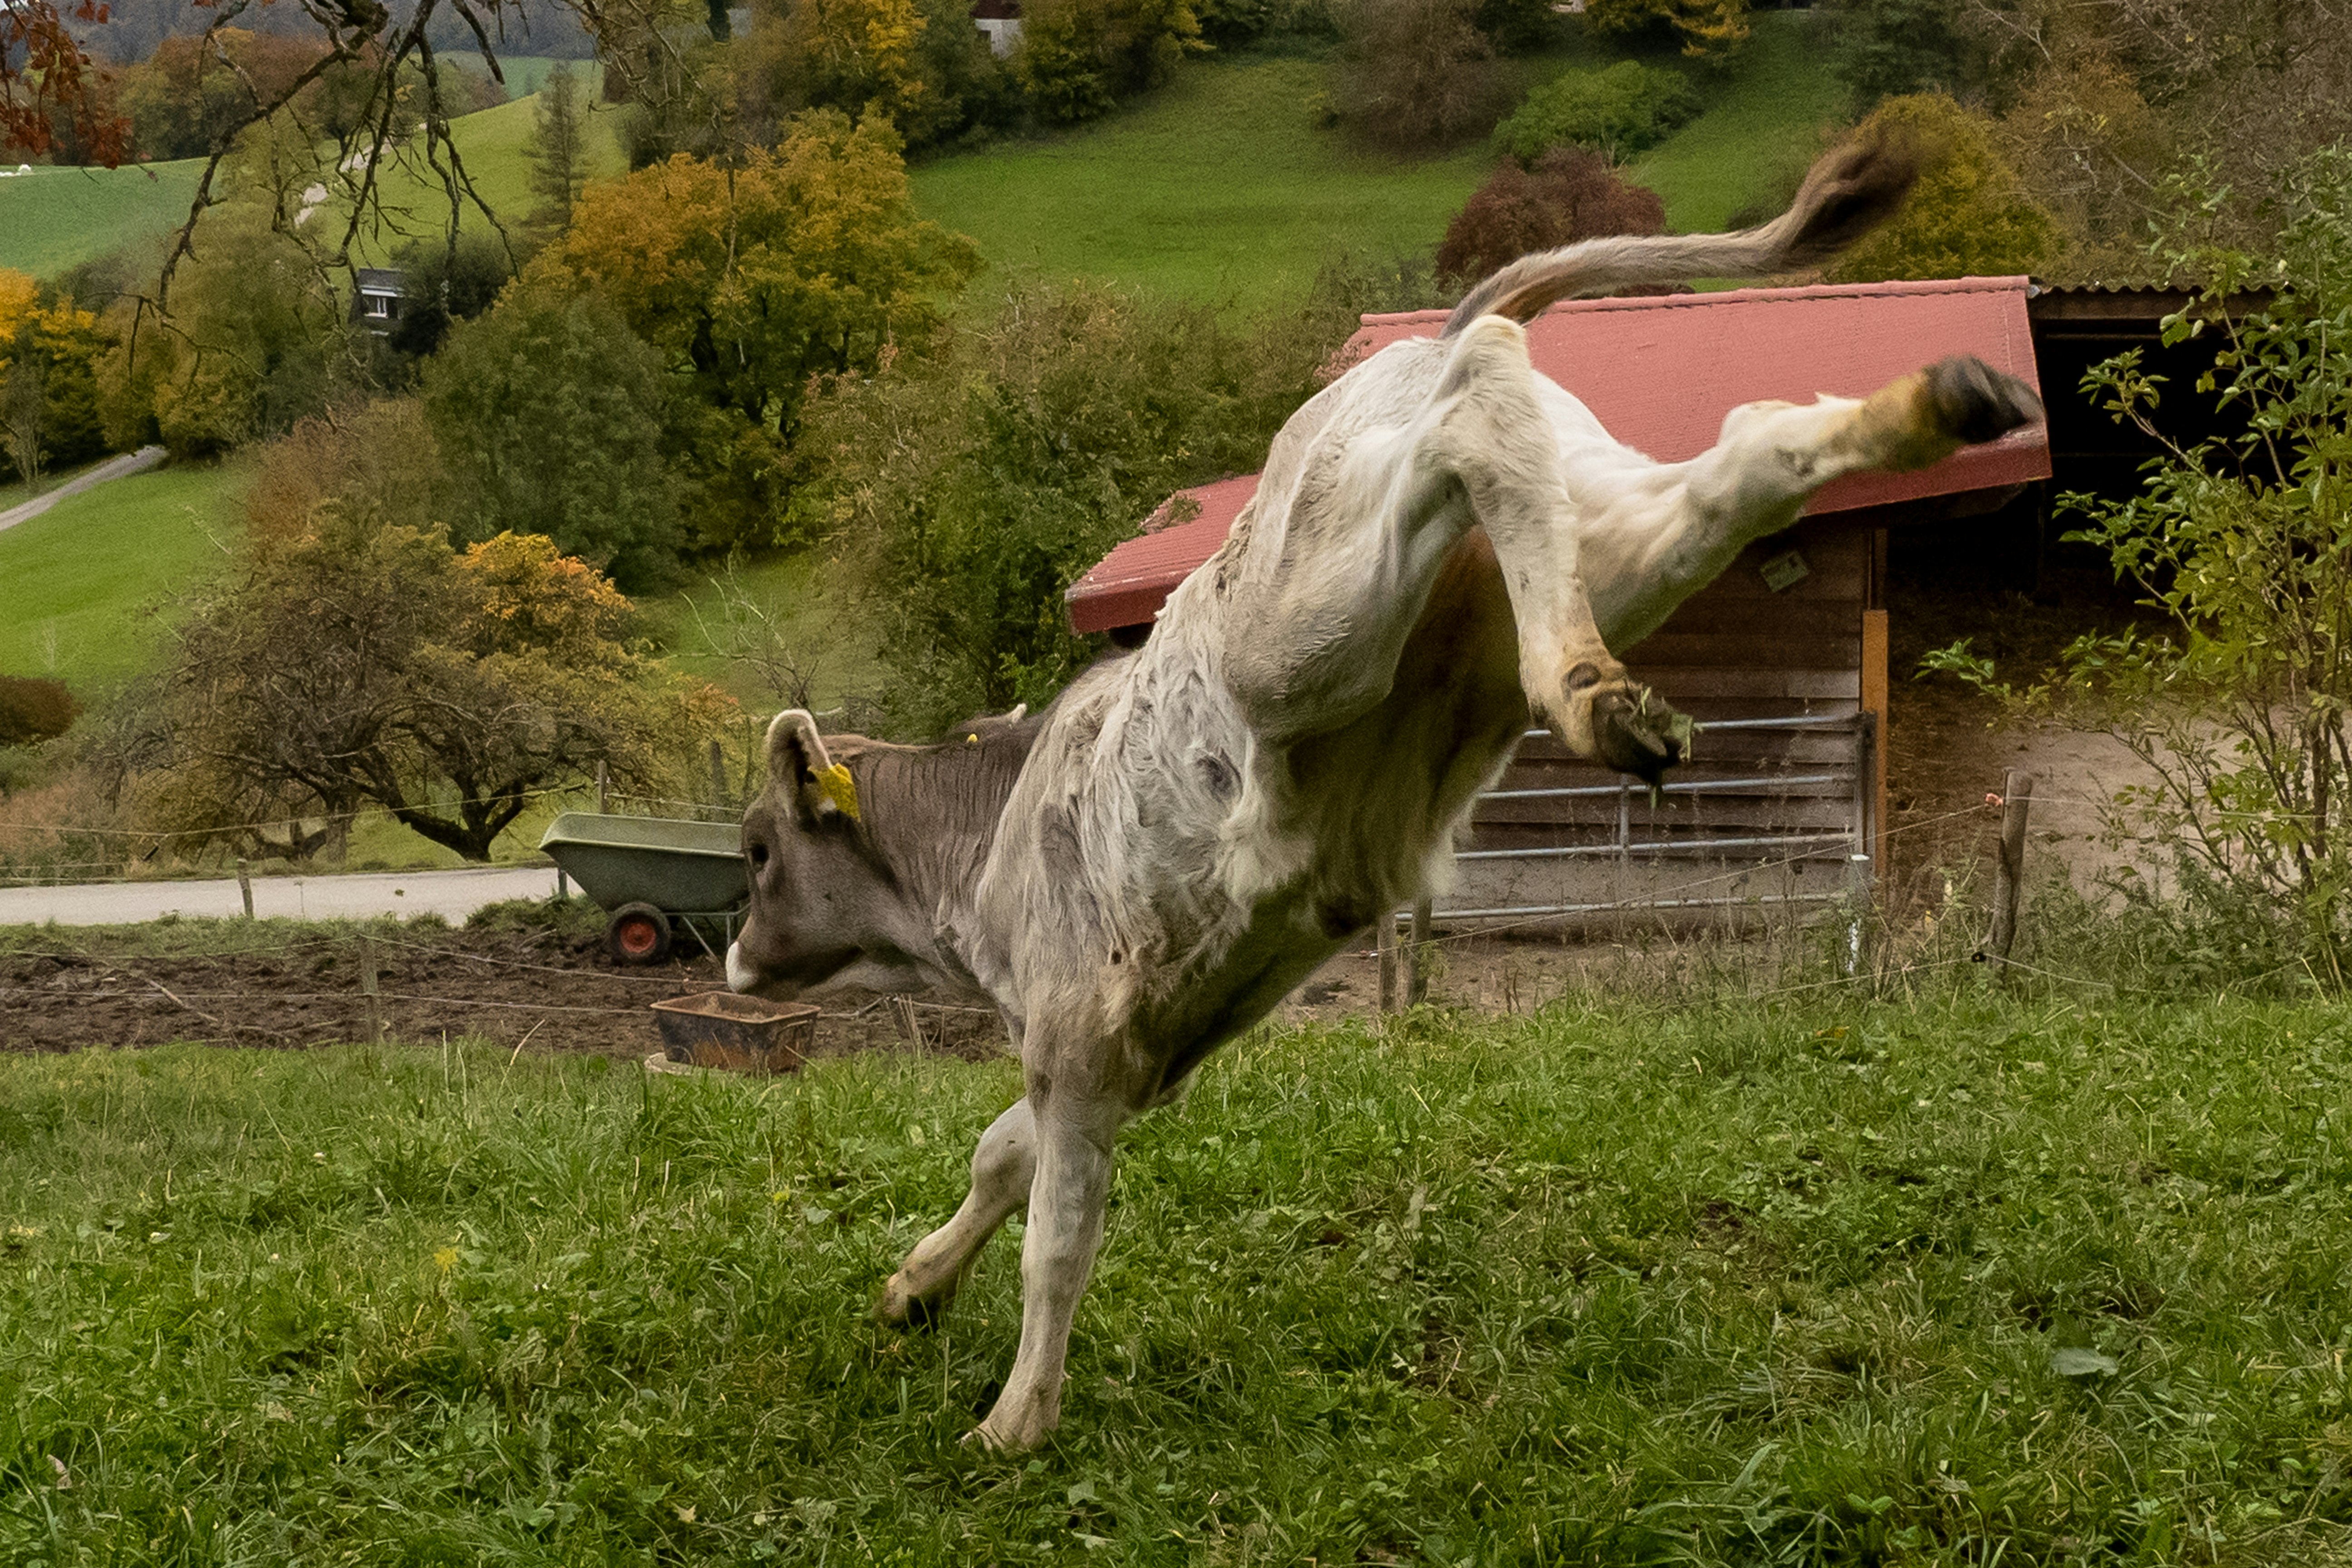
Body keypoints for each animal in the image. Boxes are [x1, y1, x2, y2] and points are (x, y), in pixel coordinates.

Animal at [720, 128, 2041, 1457]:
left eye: (757, 852)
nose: (731, 961)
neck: (986, 844)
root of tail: (1426, 340)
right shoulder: (1123, 1052)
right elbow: (1004, 1157)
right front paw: (915, 1287)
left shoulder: (1081, 1038)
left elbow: (1056, 1229)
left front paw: (1014, 1420)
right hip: (1598, 545)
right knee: (1746, 457)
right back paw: (1930, 407)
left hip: (1304, 629)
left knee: (1482, 419)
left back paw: (1589, 691)